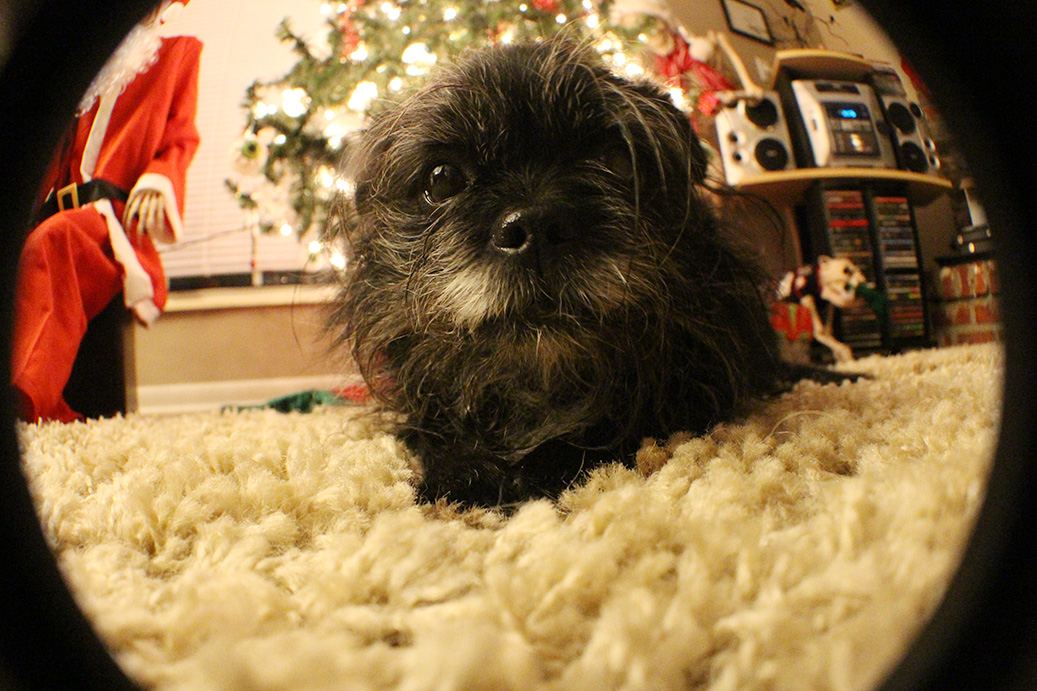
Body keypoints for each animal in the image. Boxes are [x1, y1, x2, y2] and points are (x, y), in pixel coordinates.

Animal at [331, 38, 833, 507]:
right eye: (442, 178)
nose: (534, 227)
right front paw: (461, 476)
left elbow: (612, 424)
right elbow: (438, 433)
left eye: (617, 159)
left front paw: (540, 469)